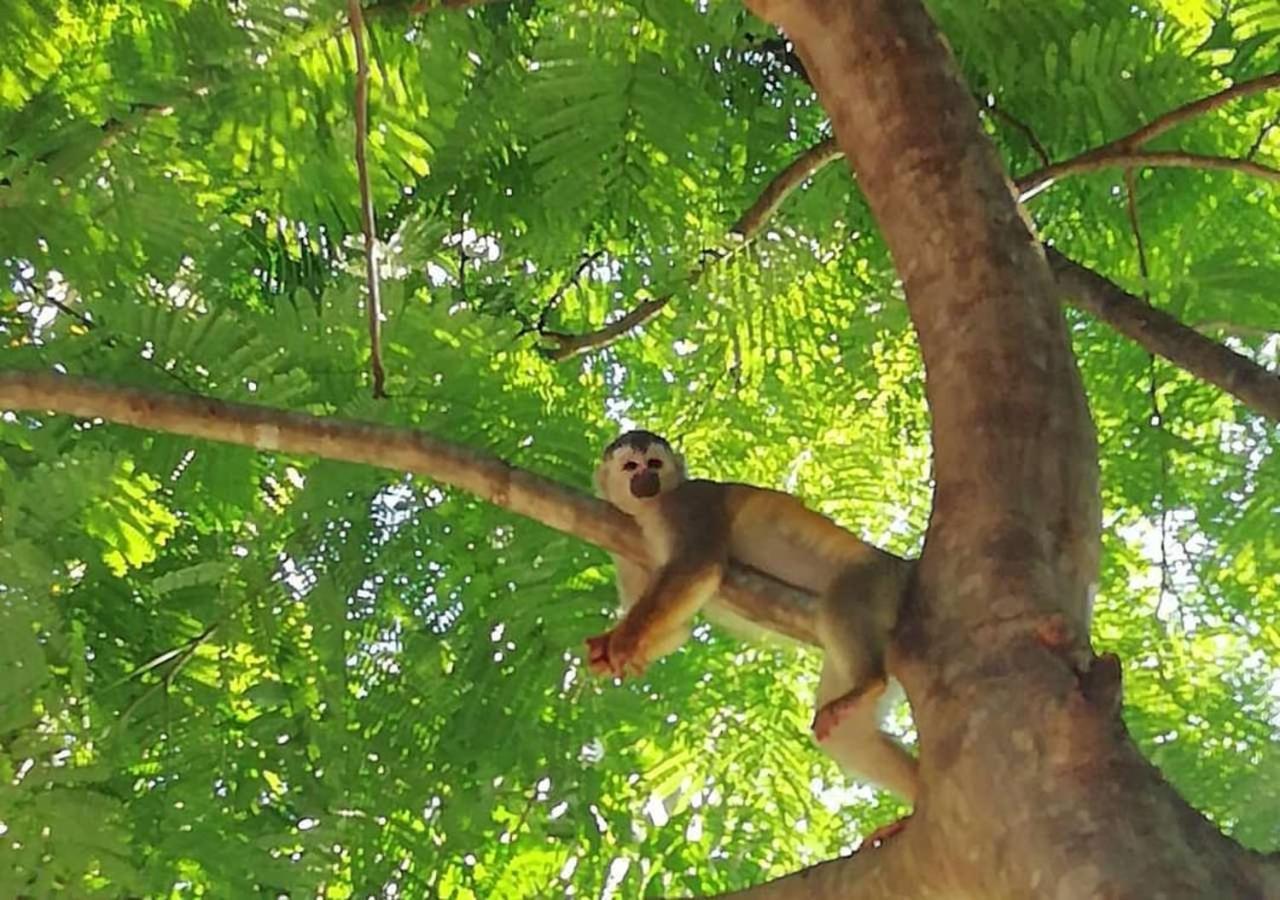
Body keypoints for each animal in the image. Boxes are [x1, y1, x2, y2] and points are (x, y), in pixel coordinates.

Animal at [586, 432, 916, 803]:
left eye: (654, 463)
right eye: (631, 466)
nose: (646, 479)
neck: (650, 510)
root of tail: (902, 567)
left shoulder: (689, 504)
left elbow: (698, 567)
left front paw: (624, 641)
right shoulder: (625, 542)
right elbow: (680, 627)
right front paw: (617, 647)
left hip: (879, 580)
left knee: (841, 603)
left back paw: (868, 684)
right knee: (849, 738)